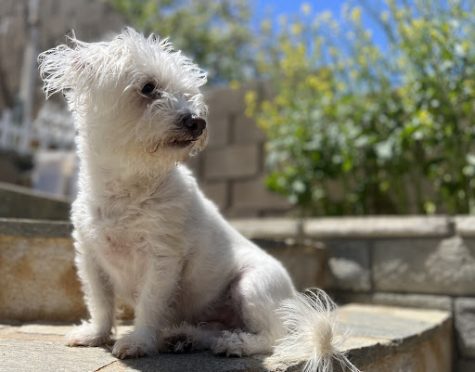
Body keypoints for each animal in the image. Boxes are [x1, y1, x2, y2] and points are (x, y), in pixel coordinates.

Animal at [39, 26, 358, 372]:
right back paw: (185, 337)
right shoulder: (89, 256)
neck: (128, 188)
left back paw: (234, 344)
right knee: (217, 329)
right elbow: (100, 301)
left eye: (187, 93)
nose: (197, 121)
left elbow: (149, 305)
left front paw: (139, 341)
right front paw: (96, 334)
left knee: (272, 337)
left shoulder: (162, 259)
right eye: (148, 87)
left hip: (252, 286)